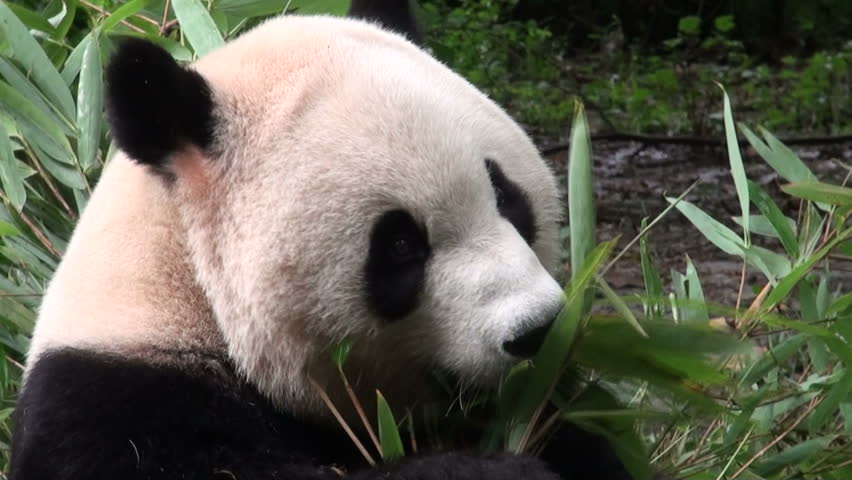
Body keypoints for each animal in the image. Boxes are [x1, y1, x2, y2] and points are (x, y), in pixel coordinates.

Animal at [9, 2, 635, 480]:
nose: (536, 330)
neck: (182, 283)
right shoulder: (115, 408)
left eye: (505, 196)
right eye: (400, 246)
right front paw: (497, 468)